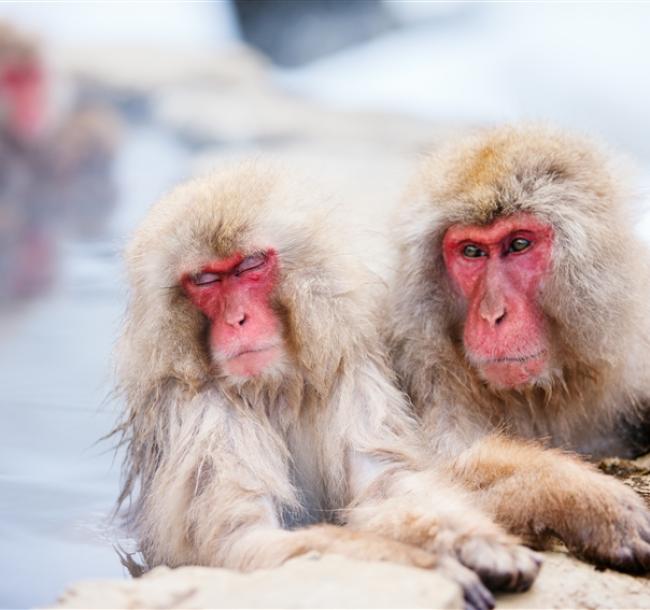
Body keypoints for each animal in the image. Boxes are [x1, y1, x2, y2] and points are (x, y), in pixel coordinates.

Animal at [114, 163, 540, 608]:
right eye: (206, 280)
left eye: (249, 266)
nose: (237, 320)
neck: (270, 387)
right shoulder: (203, 414)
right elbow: (242, 543)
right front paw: (430, 567)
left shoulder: (348, 370)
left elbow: (386, 484)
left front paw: (476, 542)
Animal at [384, 126, 648, 572]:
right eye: (472, 251)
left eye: (519, 244)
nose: (493, 314)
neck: (540, 391)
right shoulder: (421, 366)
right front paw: (583, 499)